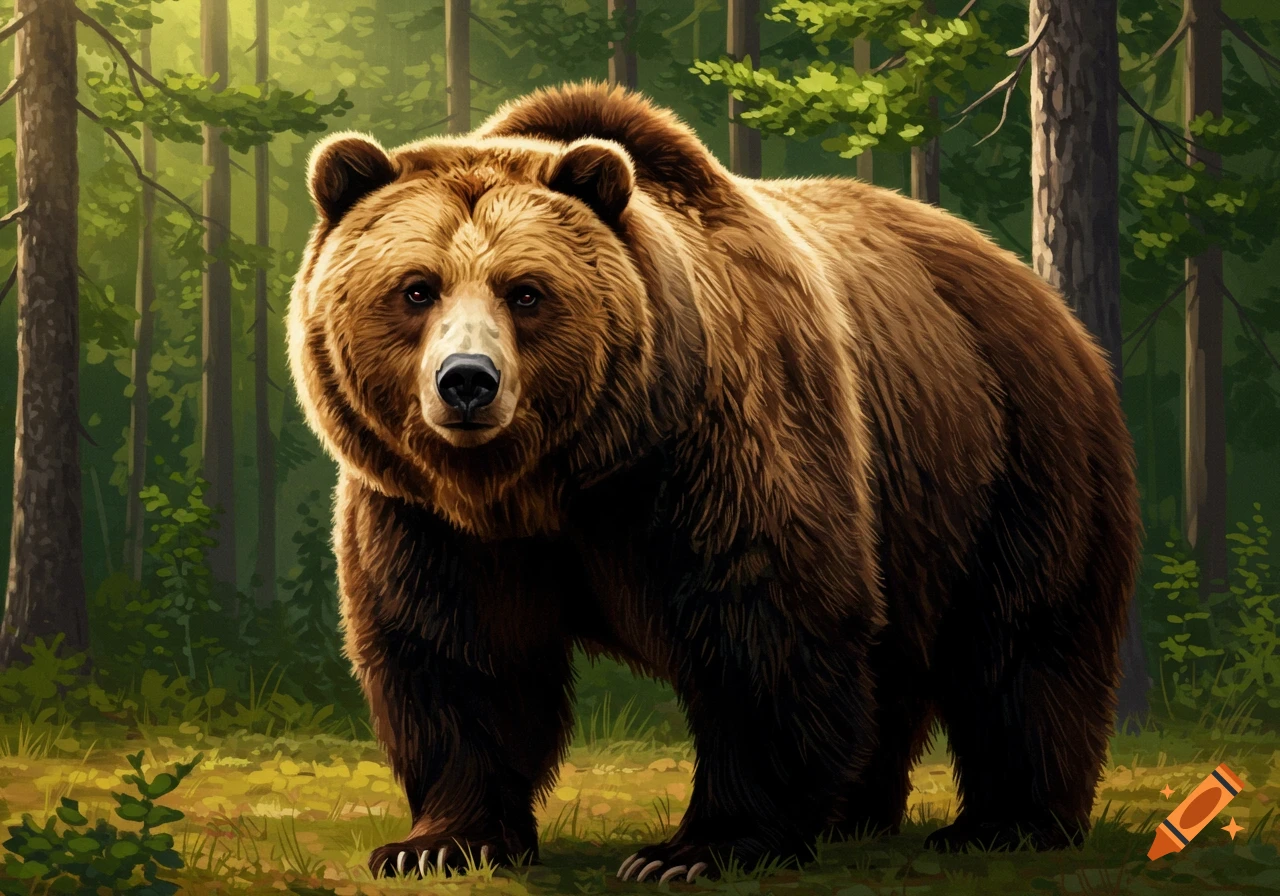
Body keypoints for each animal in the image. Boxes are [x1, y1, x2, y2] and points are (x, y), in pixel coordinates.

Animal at [287, 82, 1142, 883]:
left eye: (525, 290)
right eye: (417, 287)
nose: (467, 381)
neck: (555, 478)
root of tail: (1033, 286)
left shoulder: (716, 450)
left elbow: (763, 624)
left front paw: (695, 850)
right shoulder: (426, 513)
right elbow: (456, 652)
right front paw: (436, 844)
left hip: (1011, 455)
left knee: (1024, 640)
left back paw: (1007, 824)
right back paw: (854, 814)